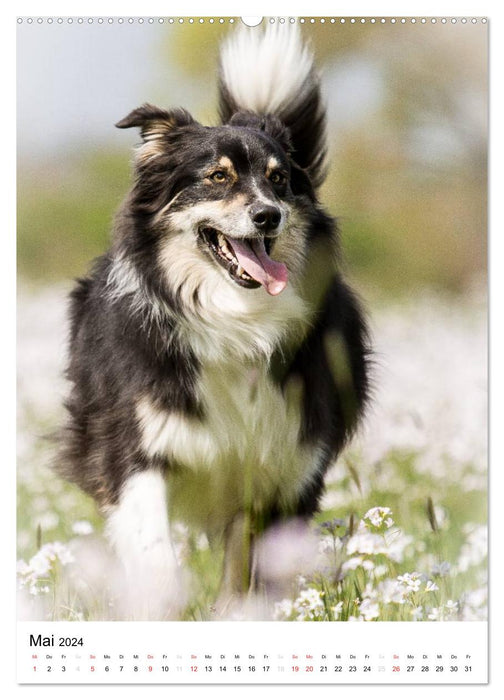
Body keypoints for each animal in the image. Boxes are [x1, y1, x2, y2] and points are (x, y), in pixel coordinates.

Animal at [61, 26, 370, 616]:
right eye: (217, 177)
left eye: (278, 180)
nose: (268, 215)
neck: (233, 321)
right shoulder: (136, 444)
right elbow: (153, 548)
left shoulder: (286, 463)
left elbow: (257, 573)